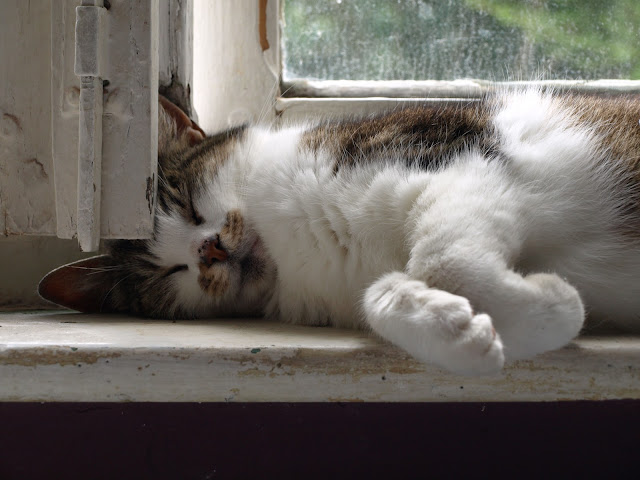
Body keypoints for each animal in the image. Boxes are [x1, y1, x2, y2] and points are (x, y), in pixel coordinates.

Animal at [40, 89, 640, 376]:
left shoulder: (465, 155)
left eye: (187, 205)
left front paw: (555, 302)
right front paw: (456, 330)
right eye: (167, 273)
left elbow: (442, 259)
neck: (296, 245)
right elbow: (384, 291)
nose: (207, 250)